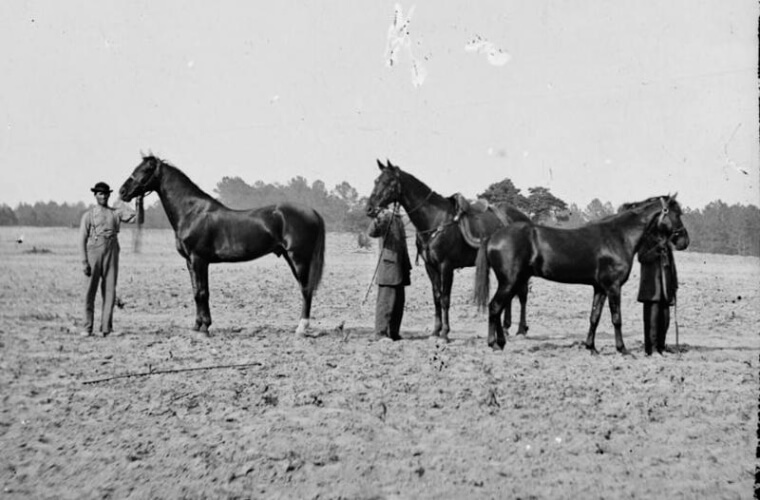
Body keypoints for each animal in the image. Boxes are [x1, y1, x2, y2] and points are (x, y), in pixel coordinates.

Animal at [119, 154, 325, 336]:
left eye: (145, 170)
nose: (122, 192)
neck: (192, 212)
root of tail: (313, 212)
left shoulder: (199, 260)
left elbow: (203, 293)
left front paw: (205, 327)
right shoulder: (190, 262)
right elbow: (196, 292)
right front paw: (197, 326)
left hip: (299, 259)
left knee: (306, 289)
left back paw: (301, 328)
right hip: (291, 257)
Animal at [366, 159, 532, 342]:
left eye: (389, 182)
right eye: (376, 181)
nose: (370, 208)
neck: (435, 220)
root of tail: (524, 218)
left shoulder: (446, 266)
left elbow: (445, 299)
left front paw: (445, 334)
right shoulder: (430, 267)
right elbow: (437, 297)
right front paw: (435, 332)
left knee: (523, 294)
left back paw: (521, 330)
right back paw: (506, 328)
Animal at [474, 194, 689, 353]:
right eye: (675, 213)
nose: (683, 241)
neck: (618, 236)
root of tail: (493, 236)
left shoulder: (600, 288)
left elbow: (594, 317)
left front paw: (591, 348)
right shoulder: (613, 287)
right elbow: (616, 318)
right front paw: (622, 349)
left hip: (513, 282)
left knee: (498, 308)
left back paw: (500, 342)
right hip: (509, 282)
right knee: (494, 307)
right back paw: (494, 344)